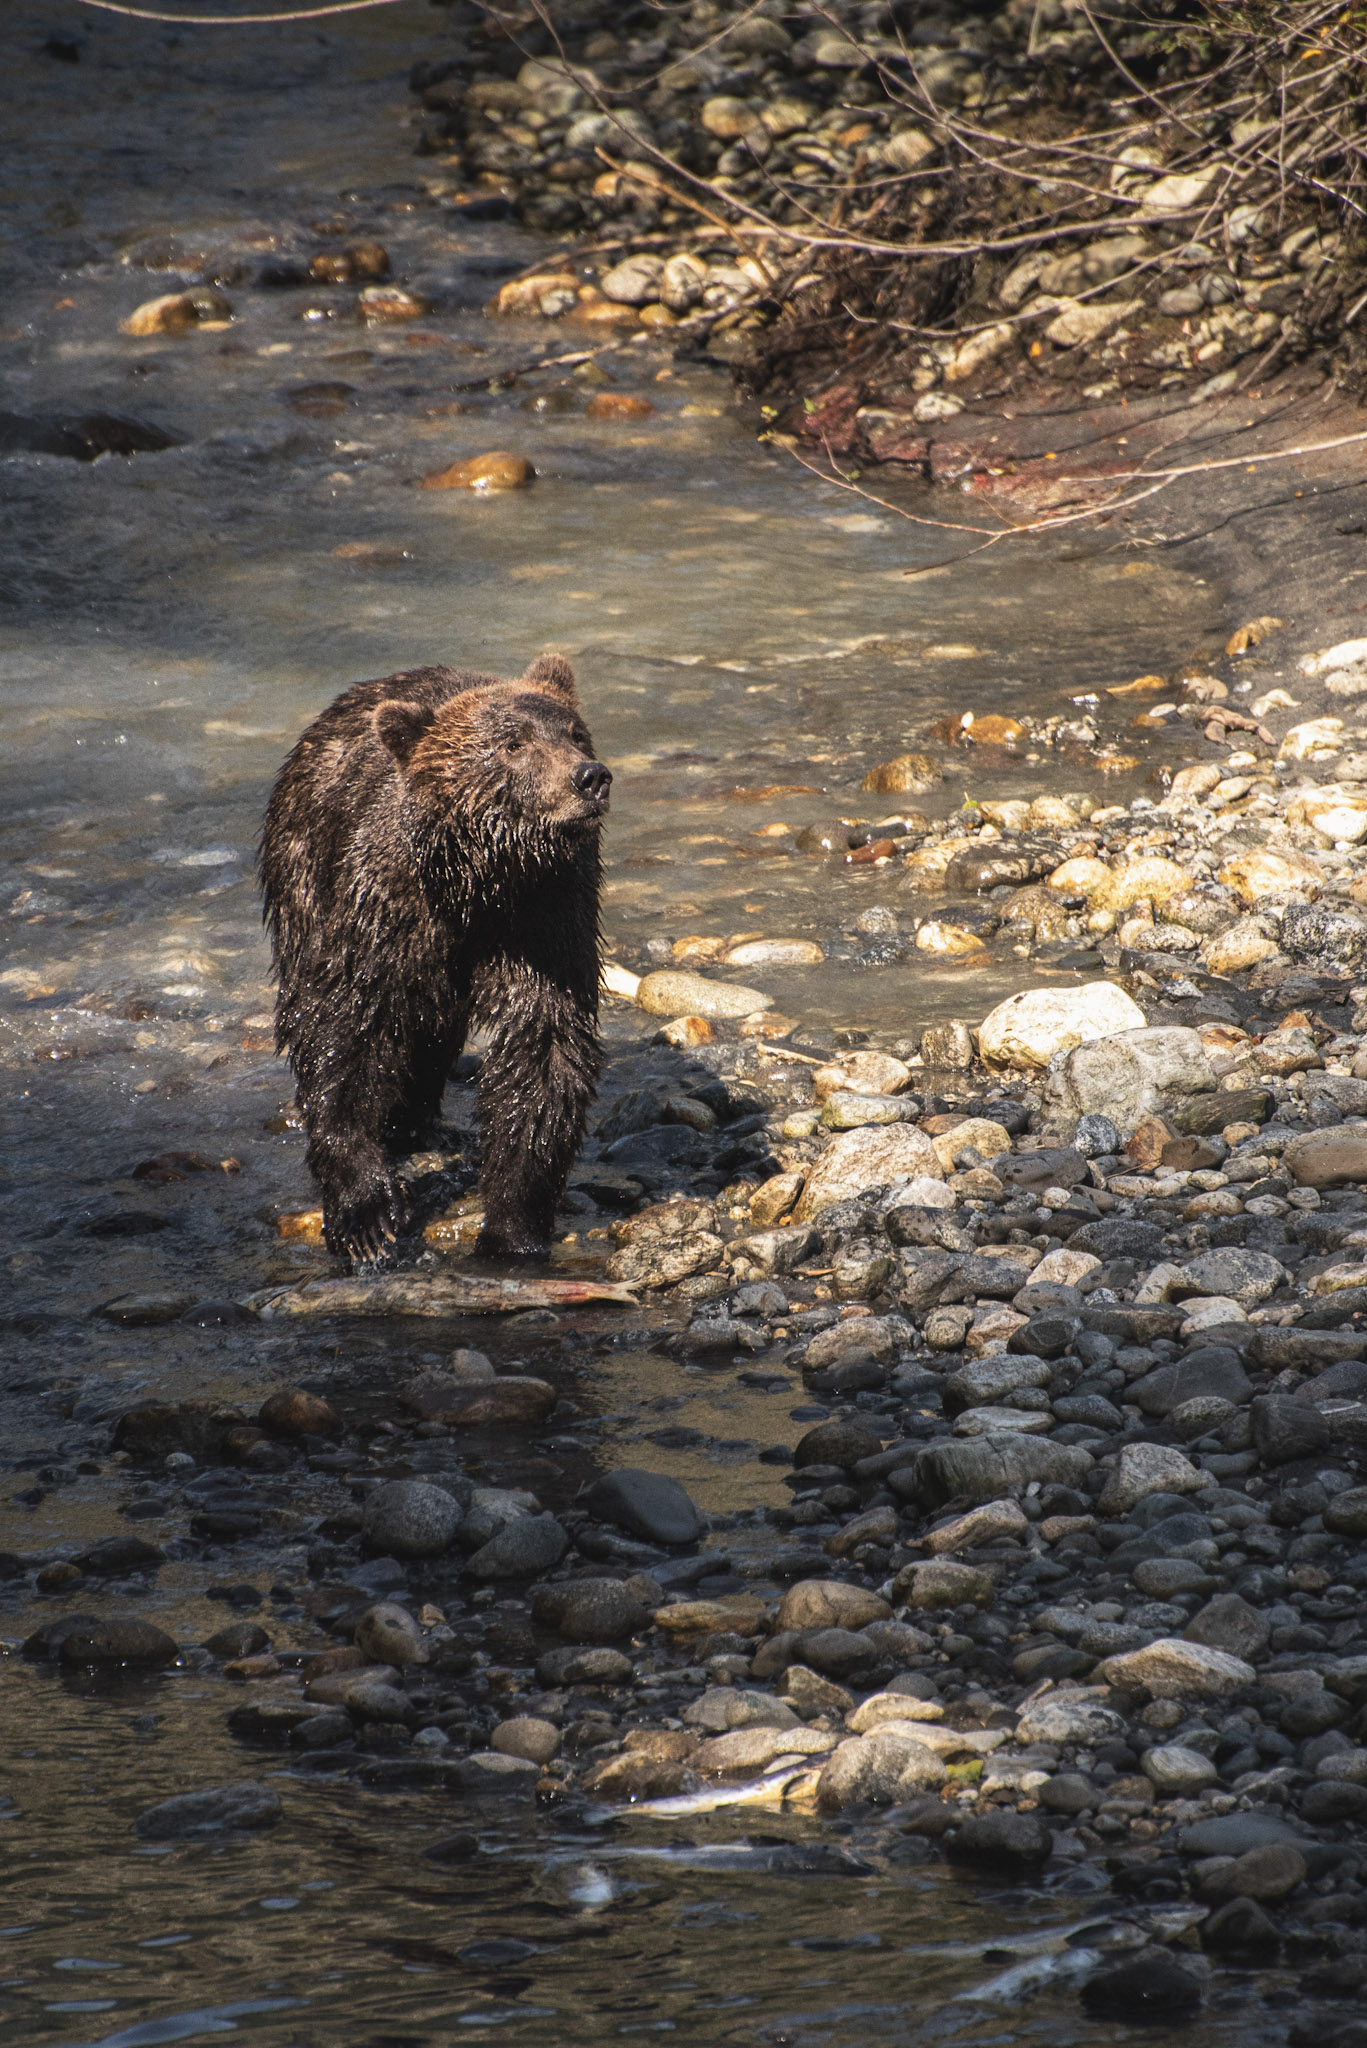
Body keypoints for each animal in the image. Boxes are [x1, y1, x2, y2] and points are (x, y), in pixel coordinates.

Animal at [259, 653, 610, 1263]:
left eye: (575, 732)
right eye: (512, 743)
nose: (589, 777)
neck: (479, 878)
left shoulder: (547, 914)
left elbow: (544, 1044)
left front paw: (512, 1227)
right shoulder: (384, 906)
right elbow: (342, 1026)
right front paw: (364, 1216)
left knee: (432, 1029)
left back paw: (420, 1122)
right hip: (301, 871)